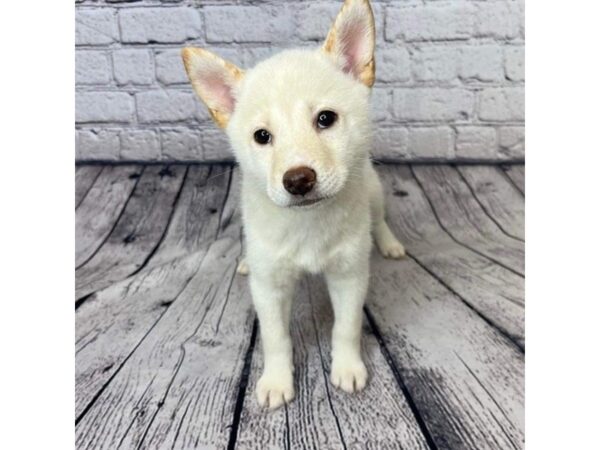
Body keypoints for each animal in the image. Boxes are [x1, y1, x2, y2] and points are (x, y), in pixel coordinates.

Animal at [182, 0, 404, 410]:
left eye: (326, 119)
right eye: (262, 136)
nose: (298, 180)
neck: (308, 225)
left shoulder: (349, 276)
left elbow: (346, 327)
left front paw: (348, 367)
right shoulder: (269, 288)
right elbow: (275, 339)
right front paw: (276, 380)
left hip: (375, 190)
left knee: (379, 219)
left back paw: (389, 243)